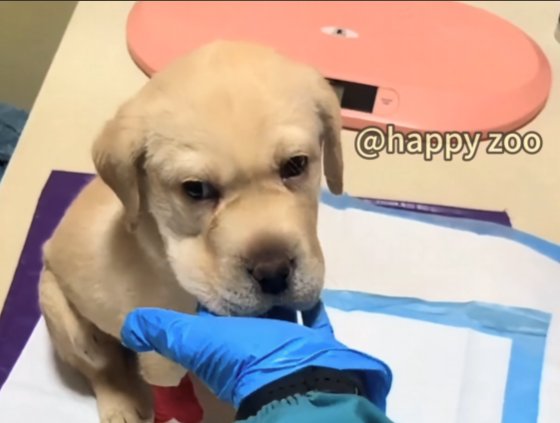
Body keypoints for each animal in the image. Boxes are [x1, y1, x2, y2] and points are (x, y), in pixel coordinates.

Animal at [38, 40, 344, 423]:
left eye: (296, 165)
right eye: (195, 189)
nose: (274, 273)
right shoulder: (158, 353)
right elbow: (174, 397)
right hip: (64, 316)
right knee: (102, 369)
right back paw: (120, 405)